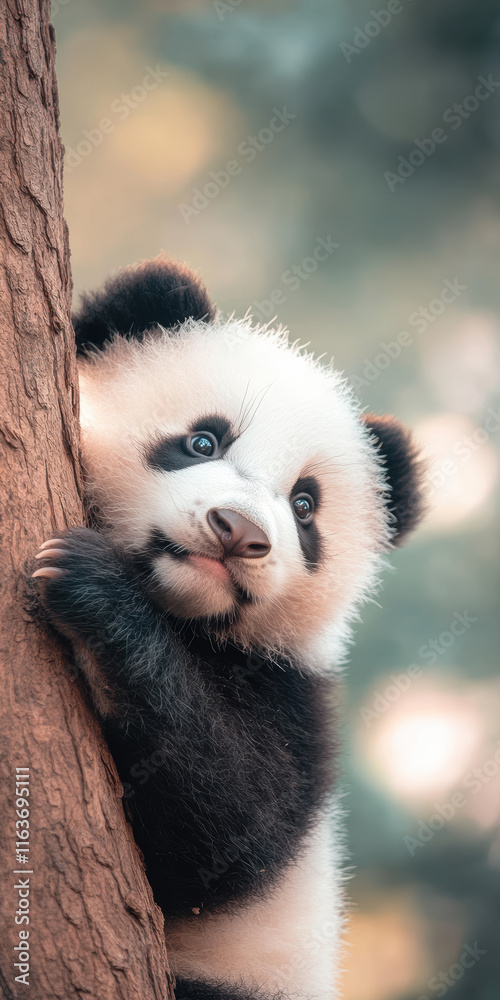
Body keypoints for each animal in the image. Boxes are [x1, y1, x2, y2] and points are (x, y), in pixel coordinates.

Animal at [33, 256, 424, 1000]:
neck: (180, 612)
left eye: (304, 506)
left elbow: (221, 833)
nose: (238, 530)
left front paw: (95, 593)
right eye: (203, 440)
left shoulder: (292, 701)